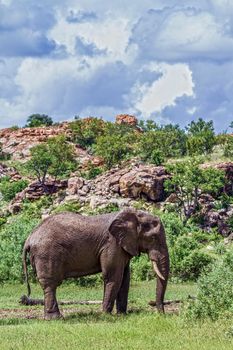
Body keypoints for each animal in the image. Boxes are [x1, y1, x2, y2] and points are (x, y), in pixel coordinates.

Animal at [22, 208, 169, 320]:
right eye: (153, 238)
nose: (161, 315)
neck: (134, 214)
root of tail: (29, 238)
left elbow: (125, 278)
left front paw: (122, 315)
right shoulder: (111, 244)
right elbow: (113, 277)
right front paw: (106, 316)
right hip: (46, 254)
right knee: (50, 284)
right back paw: (55, 318)